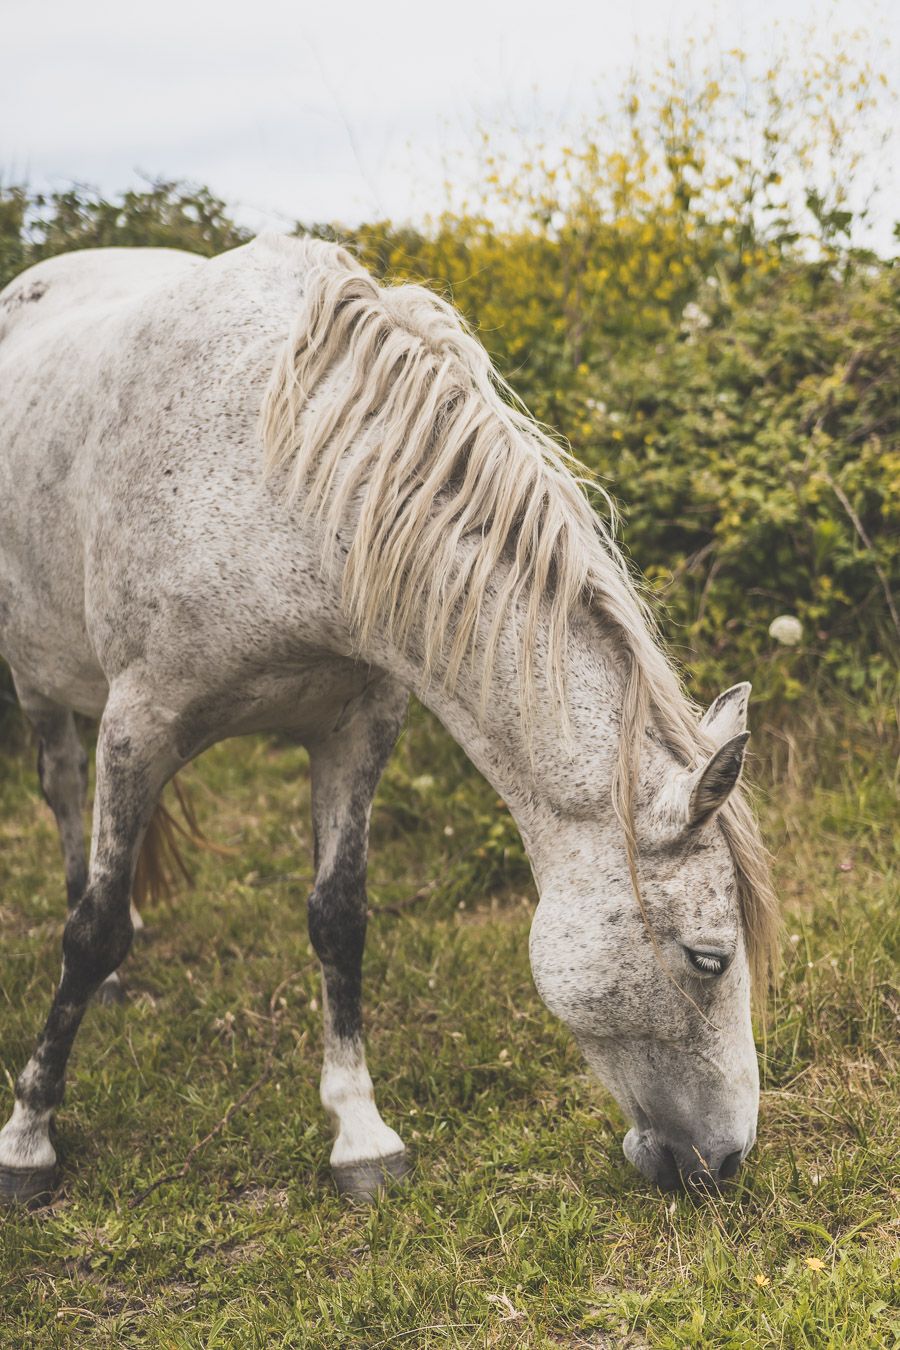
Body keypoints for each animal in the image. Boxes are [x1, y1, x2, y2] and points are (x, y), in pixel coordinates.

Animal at [0, 232, 777, 1204]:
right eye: (709, 959)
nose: (727, 1159)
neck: (283, 486)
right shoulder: (139, 725)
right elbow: (91, 931)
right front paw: (29, 1134)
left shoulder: (358, 726)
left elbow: (339, 919)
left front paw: (360, 1134)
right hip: (41, 682)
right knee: (64, 794)